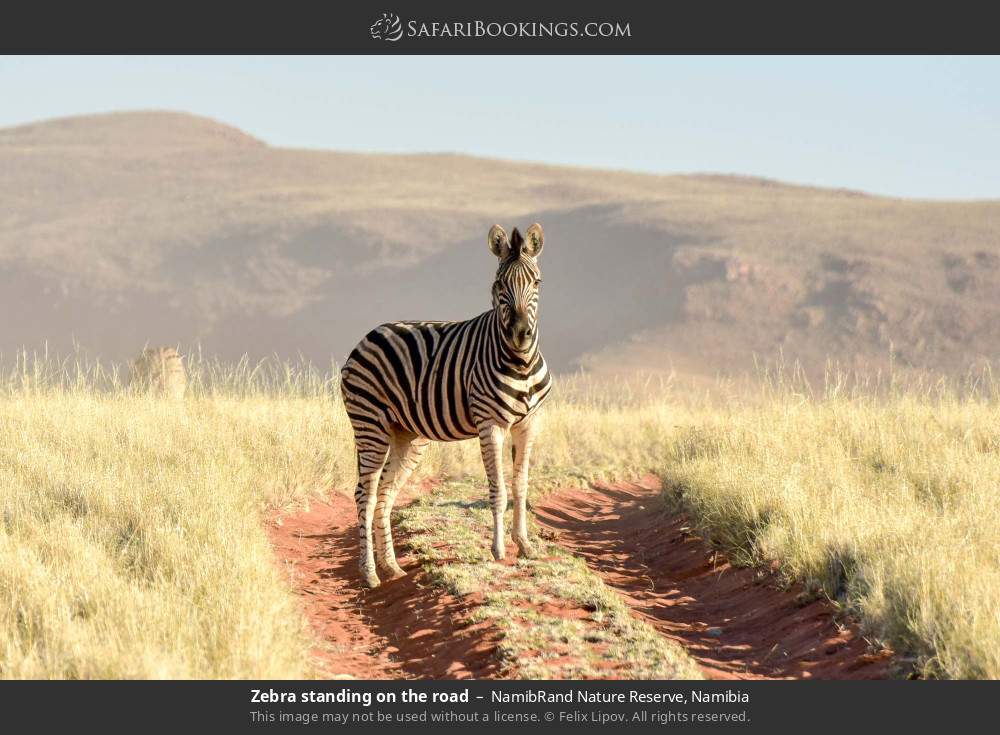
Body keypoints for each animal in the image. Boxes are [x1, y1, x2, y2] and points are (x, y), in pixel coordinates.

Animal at [340, 221, 552, 588]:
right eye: (499, 285)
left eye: (536, 282)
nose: (521, 333)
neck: (521, 362)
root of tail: (367, 337)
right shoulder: (490, 424)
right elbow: (499, 490)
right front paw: (498, 550)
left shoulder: (528, 423)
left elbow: (521, 486)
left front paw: (525, 545)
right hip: (370, 425)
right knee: (364, 495)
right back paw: (369, 574)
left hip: (405, 436)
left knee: (385, 495)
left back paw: (392, 567)